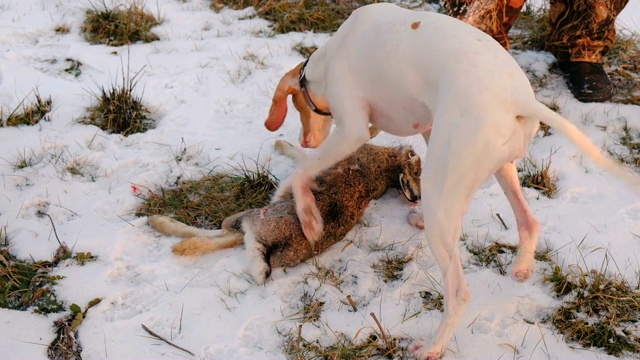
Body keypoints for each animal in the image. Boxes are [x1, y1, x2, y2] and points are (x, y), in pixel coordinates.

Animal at [262, 3, 636, 360]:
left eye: (299, 107)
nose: (306, 139)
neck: (334, 52)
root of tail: (519, 97)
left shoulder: (352, 130)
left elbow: (302, 170)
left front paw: (307, 216)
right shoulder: (424, 125)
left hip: (448, 183)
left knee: (459, 292)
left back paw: (433, 347)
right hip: (492, 167)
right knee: (527, 221)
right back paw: (517, 263)